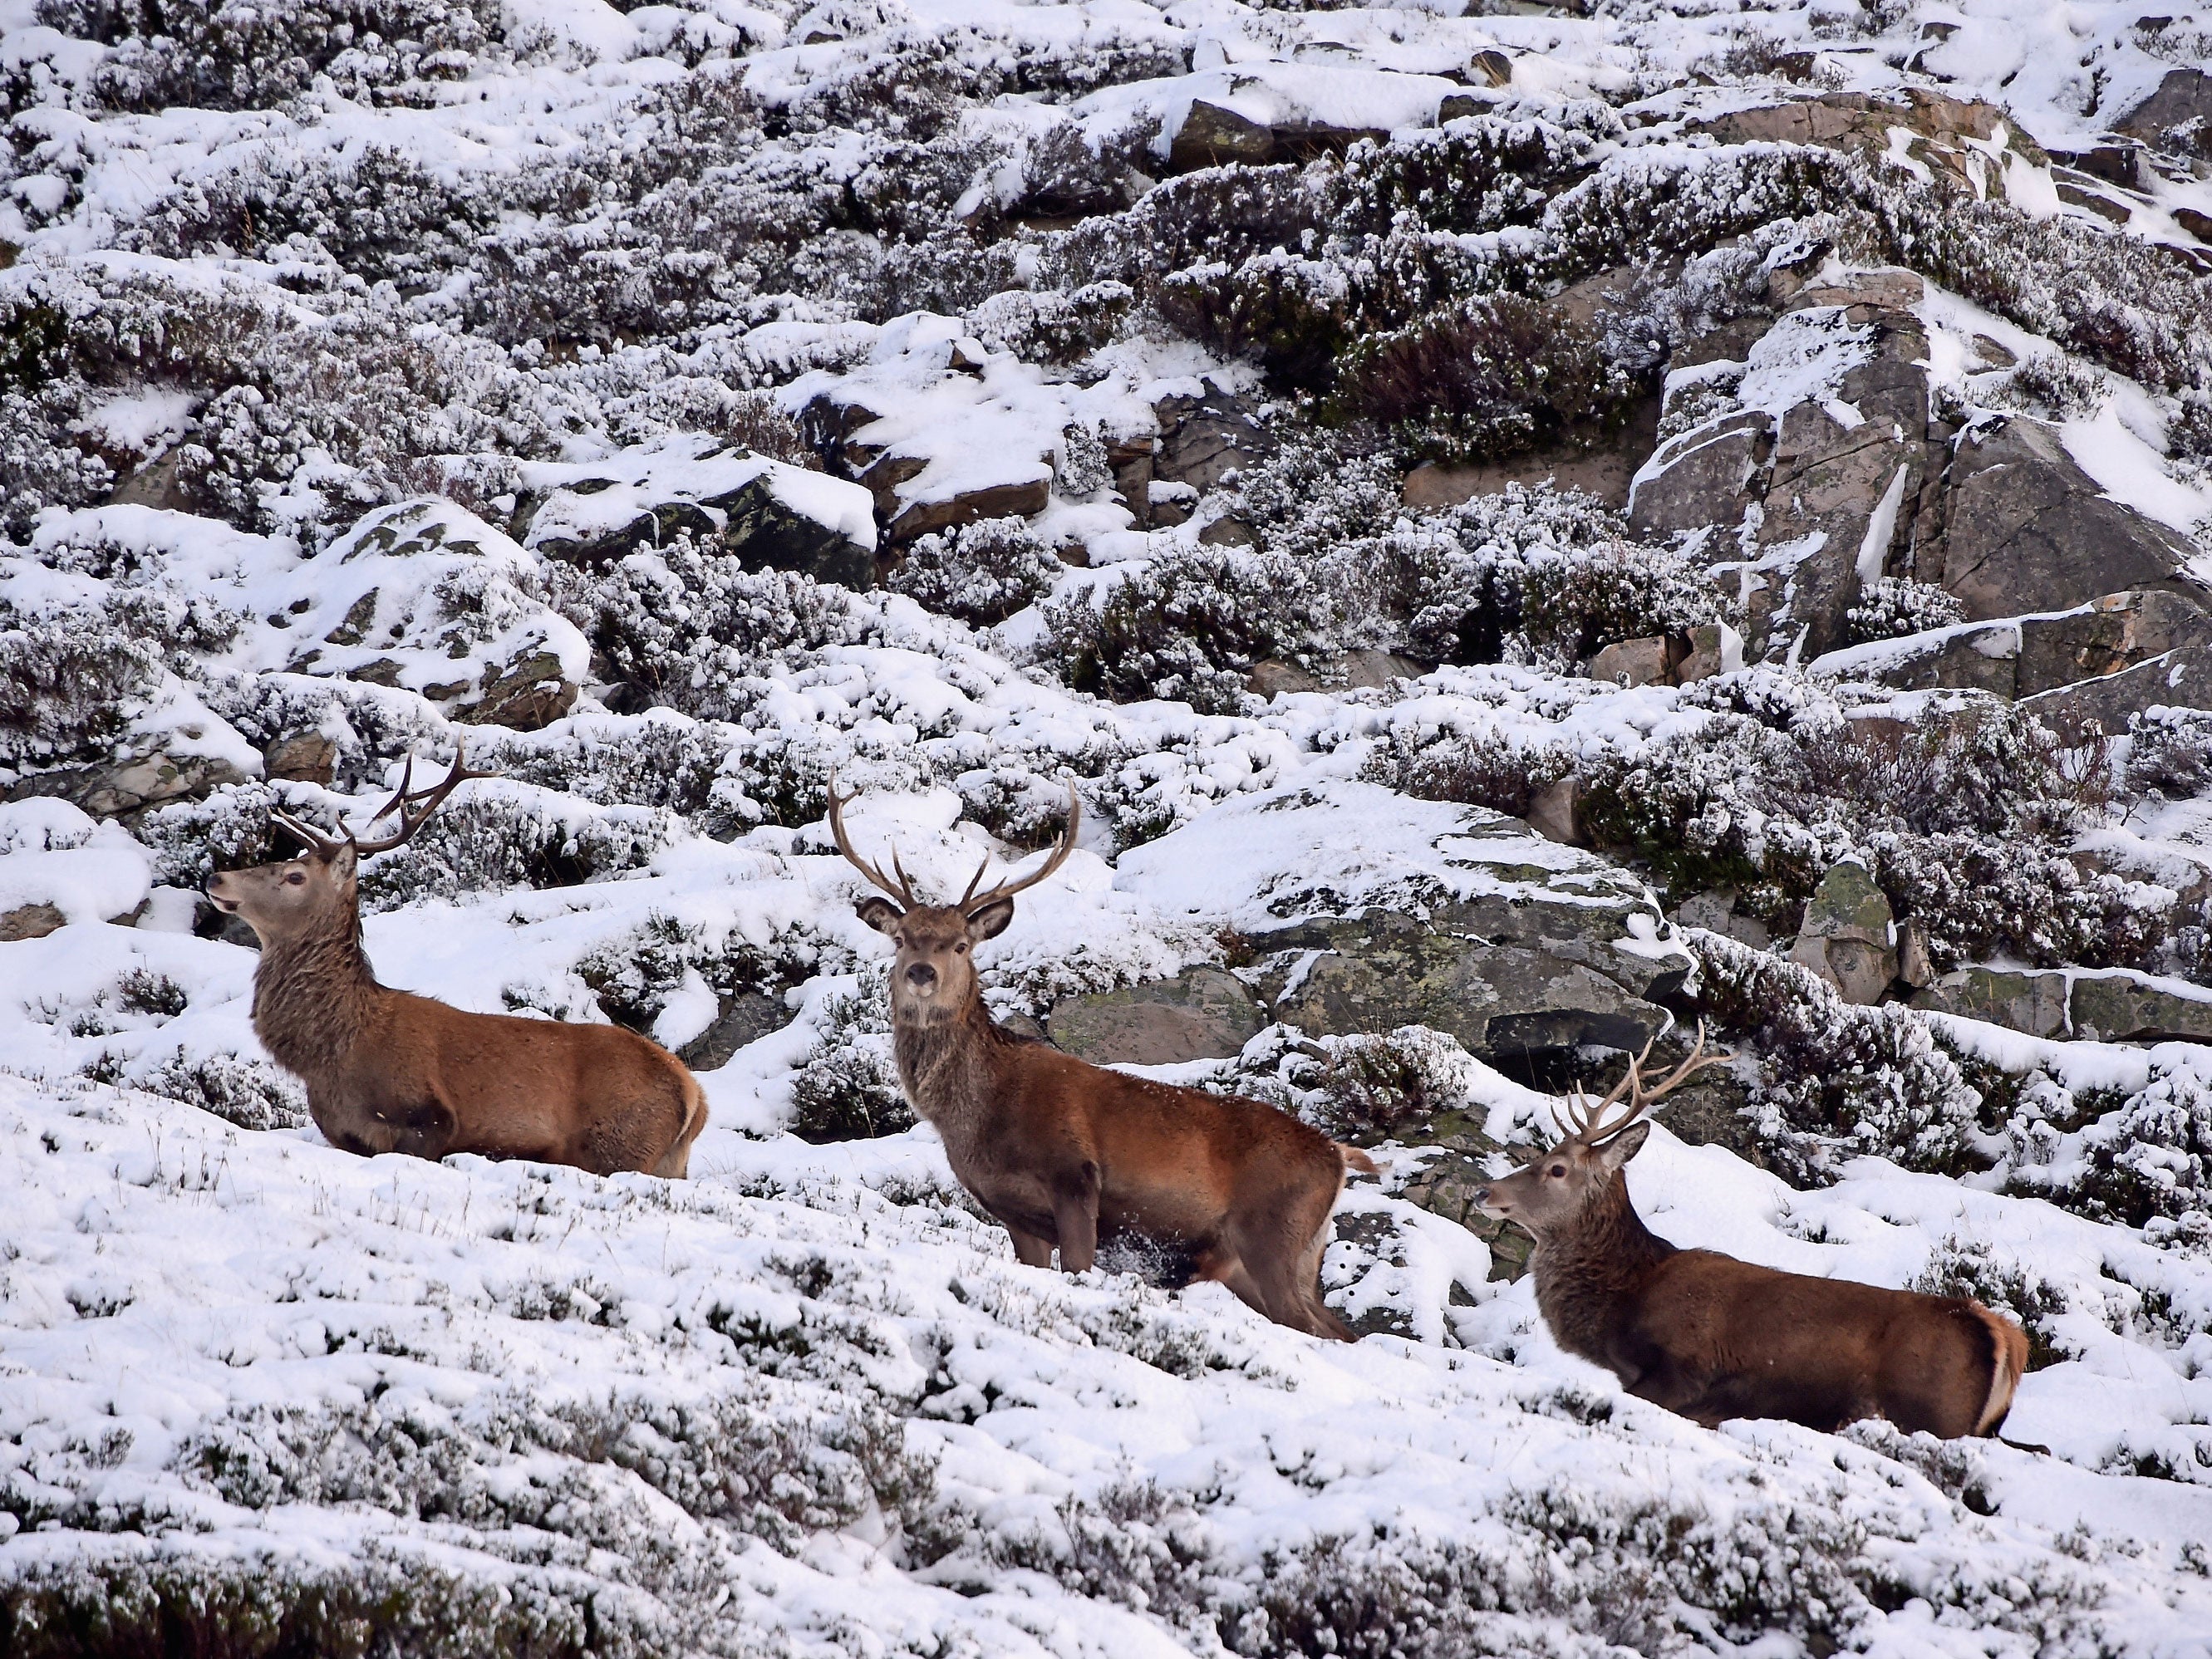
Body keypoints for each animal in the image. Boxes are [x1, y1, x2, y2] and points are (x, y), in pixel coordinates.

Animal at [205, 746, 707, 1178]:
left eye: (295, 876)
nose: (217, 877)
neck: (336, 1052)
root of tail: (693, 1097)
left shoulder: (429, 1118)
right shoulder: (342, 1133)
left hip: (618, 1147)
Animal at [829, 783, 1377, 1340]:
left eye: (961, 945)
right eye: (901, 939)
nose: (921, 972)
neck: (980, 1114)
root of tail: (1337, 1156)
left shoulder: (1075, 1175)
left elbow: (1078, 1266)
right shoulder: (1015, 1215)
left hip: (1273, 1234)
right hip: (1279, 1258)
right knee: (1340, 1331)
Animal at [1475, 1028, 2029, 1439]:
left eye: (1558, 1169)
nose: (1485, 1191)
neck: (1625, 1303)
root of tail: (2003, 1336)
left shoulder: (1685, 1370)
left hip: (1931, 1413)